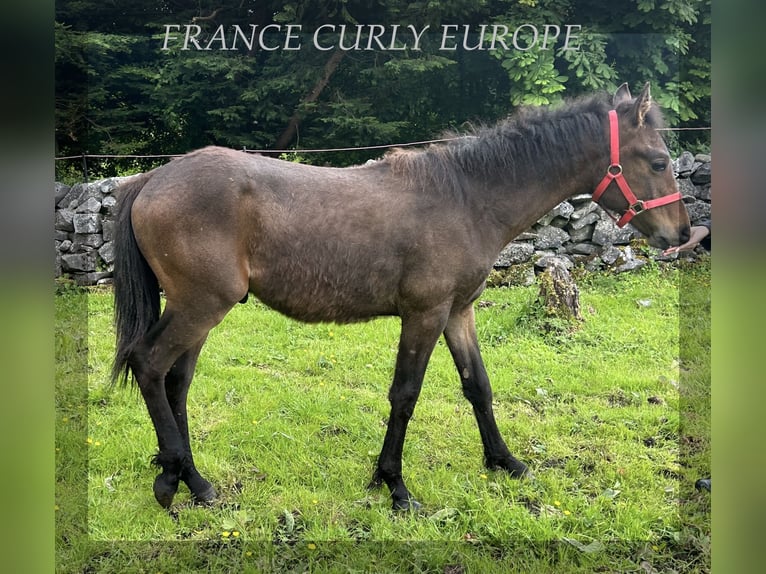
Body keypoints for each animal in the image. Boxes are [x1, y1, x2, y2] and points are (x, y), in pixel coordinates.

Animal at [111, 83, 692, 510]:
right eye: (658, 161)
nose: (683, 234)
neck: (467, 196)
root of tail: (152, 179)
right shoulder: (424, 314)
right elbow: (405, 395)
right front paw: (394, 484)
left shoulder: (459, 312)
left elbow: (478, 386)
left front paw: (504, 462)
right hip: (200, 307)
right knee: (148, 364)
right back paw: (171, 480)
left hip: (200, 311)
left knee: (176, 383)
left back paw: (194, 481)